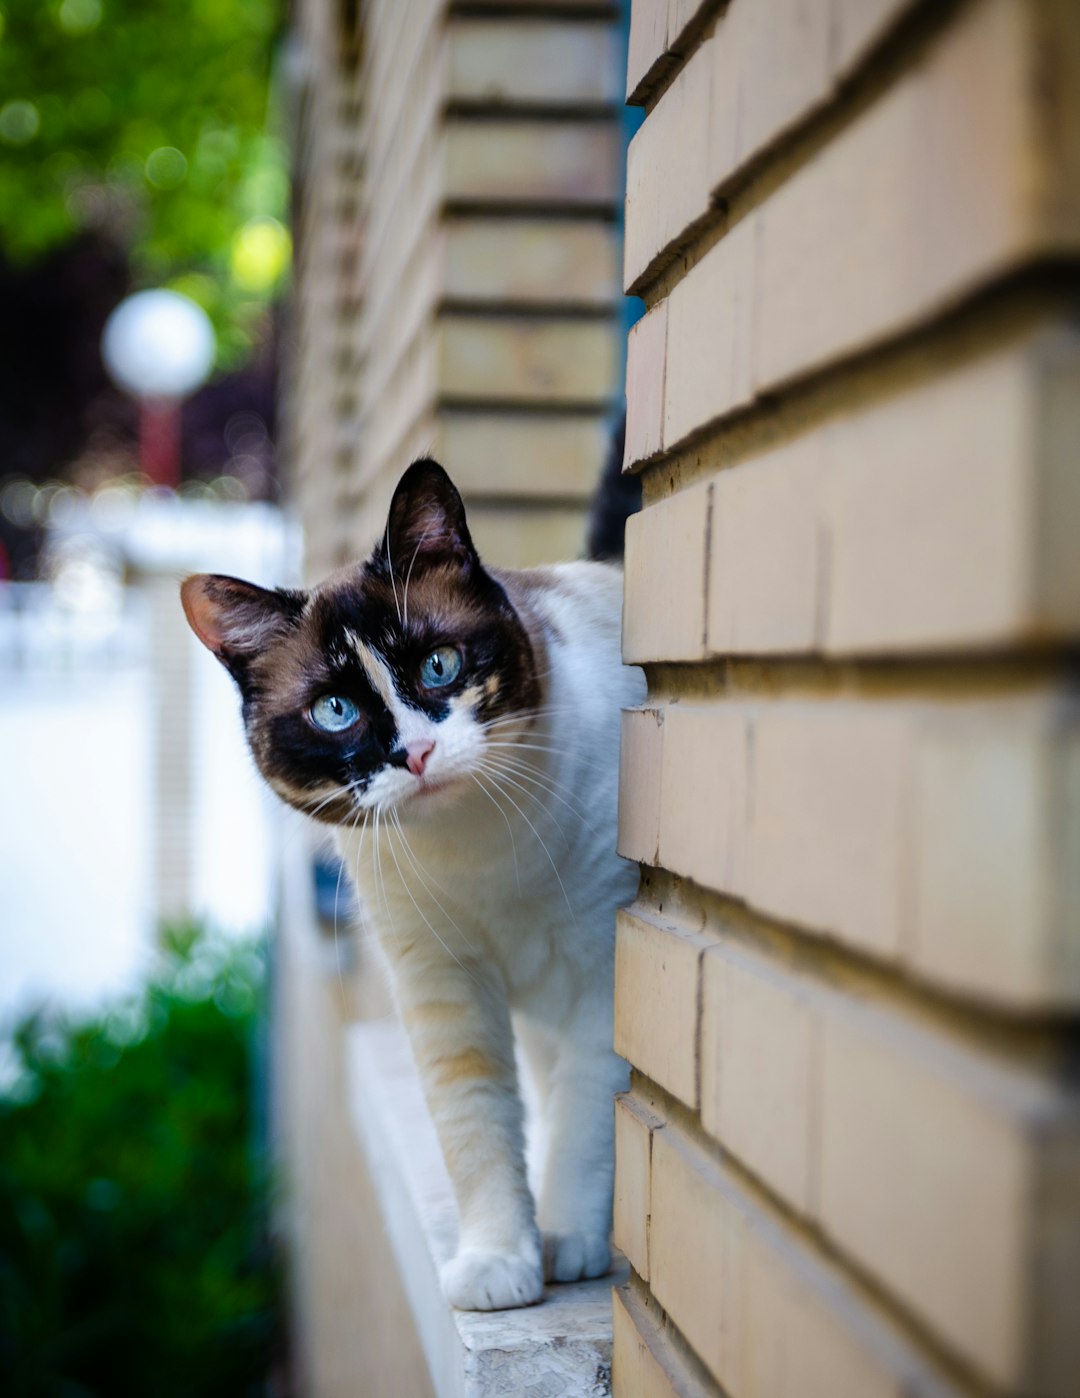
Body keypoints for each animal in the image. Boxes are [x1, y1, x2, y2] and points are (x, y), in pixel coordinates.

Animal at [181, 455, 645, 1308]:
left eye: (439, 666)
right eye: (335, 711)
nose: (417, 755)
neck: (480, 855)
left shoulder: (605, 974)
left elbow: (586, 1118)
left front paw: (566, 1240)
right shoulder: (443, 988)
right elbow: (475, 1128)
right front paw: (501, 1262)